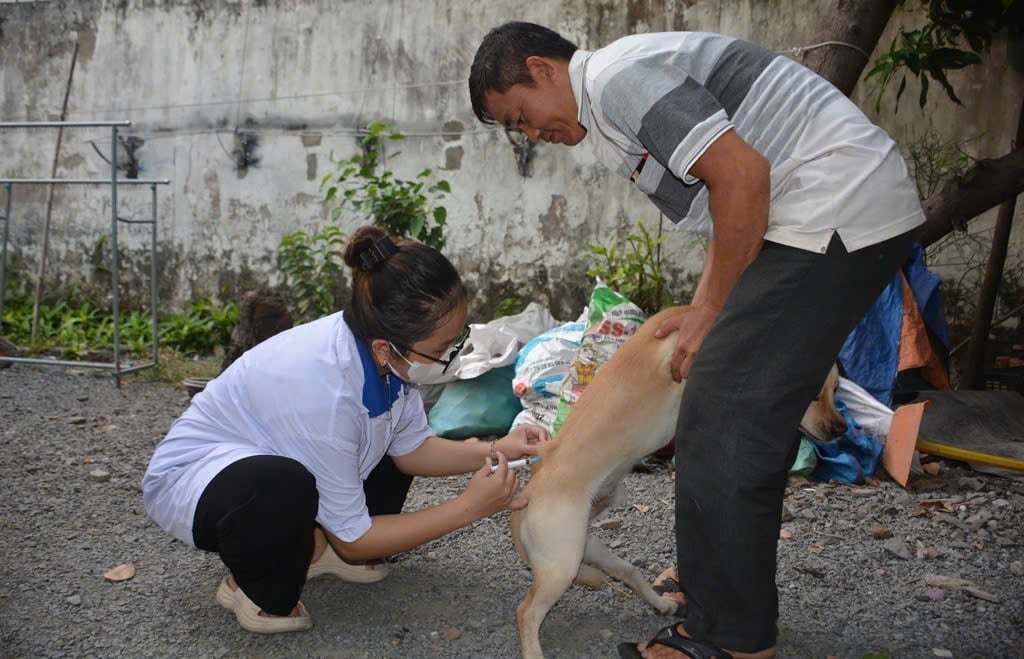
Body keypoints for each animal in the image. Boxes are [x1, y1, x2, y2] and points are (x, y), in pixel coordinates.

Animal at [512, 306, 847, 654]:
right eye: (812, 395)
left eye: (836, 390)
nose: (842, 429)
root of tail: (527, 496)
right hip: (562, 564)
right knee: (527, 612)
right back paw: (534, 652)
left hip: (586, 550)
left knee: (629, 571)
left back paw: (662, 604)